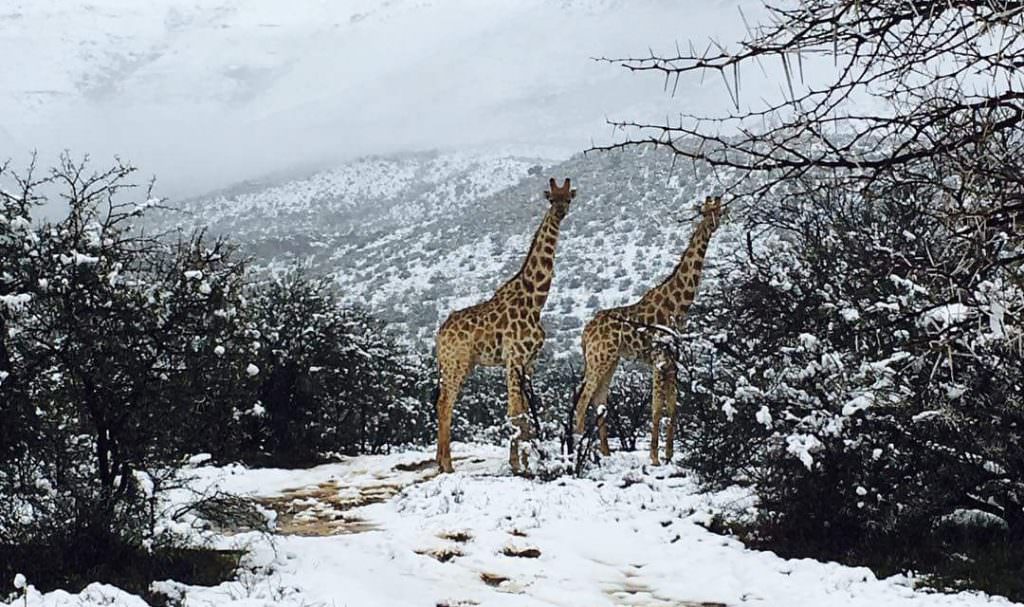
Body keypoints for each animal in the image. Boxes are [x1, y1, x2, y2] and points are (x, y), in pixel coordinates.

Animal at [432, 175, 577, 472]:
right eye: (551, 199)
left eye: (568, 198)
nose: (560, 212)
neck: (535, 300)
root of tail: (439, 334)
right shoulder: (514, 358)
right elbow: (515, 413)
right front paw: (517, 465)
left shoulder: (529, 362)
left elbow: (525, 413)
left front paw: (527, 462)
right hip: (456, 363)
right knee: (445, 403)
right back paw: (447, 465)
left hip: (459, 364)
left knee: (442, 403)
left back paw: (440, 462)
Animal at [569, 194, 729, 464]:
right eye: (707, 210)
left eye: (718, 208)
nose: (716, 222)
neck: (678, 306)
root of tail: (584, 333)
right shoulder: (659, 358)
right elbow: (656, 407)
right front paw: (654, 457)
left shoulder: (673, 360)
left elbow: (673, 406)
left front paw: (669, 455)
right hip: (598, 359)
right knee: (583, 401)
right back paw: (581, 454)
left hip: (610, 360)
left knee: (599, 400)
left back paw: (605, 452)